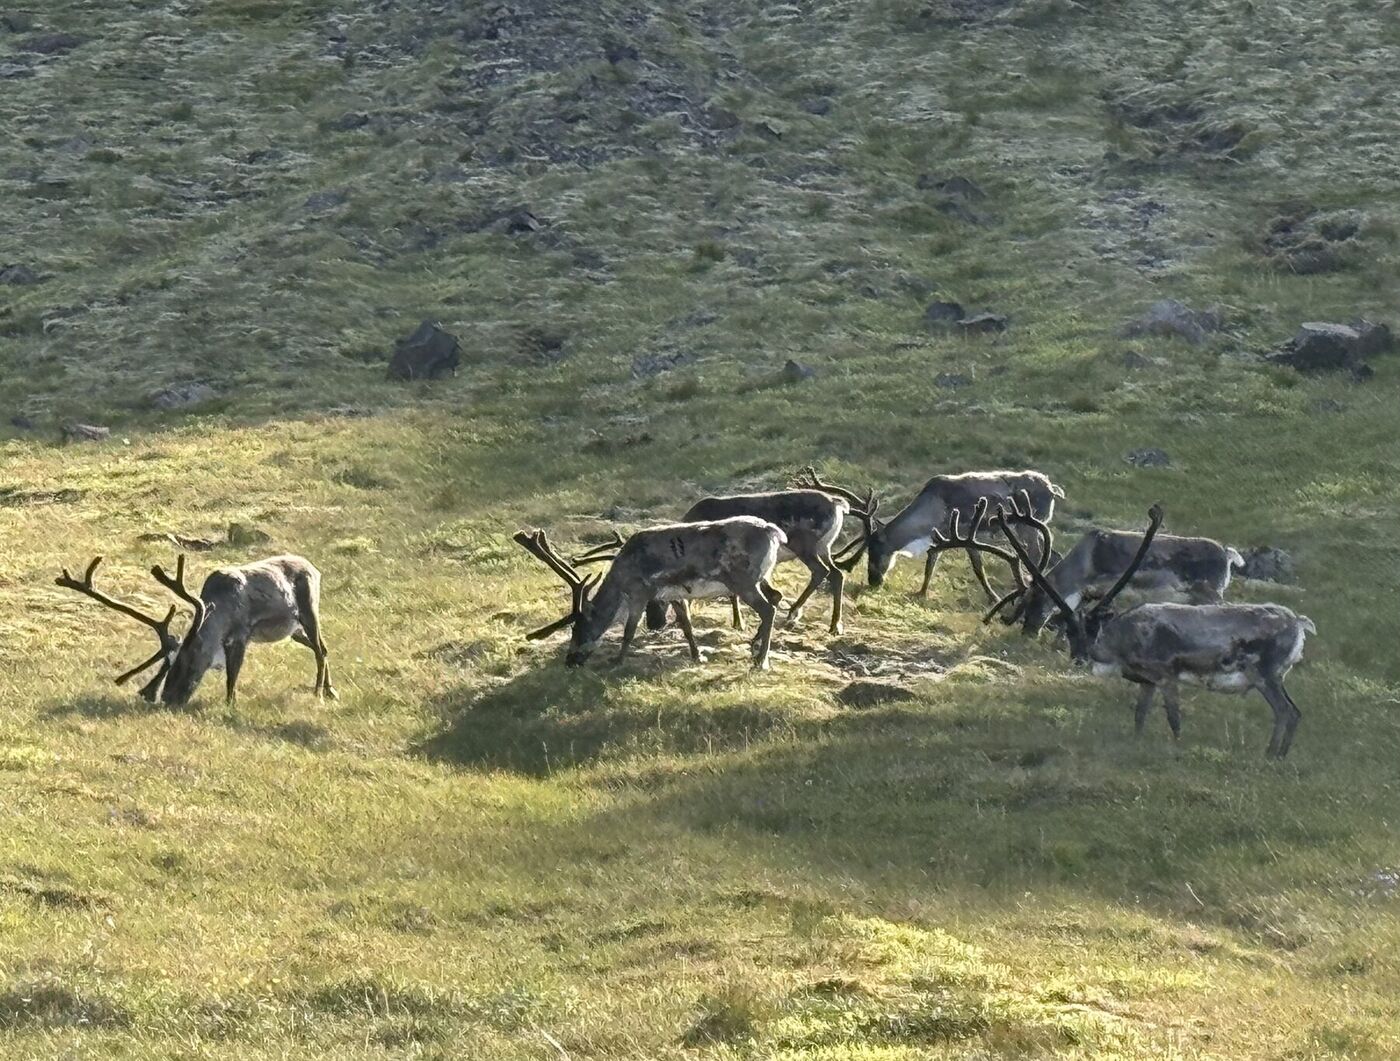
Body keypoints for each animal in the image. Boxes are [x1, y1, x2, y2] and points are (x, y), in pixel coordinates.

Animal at [55, 554, 335, 706]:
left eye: (189, 663)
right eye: (167, 665)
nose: (168, 698)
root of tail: (313, 567)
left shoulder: (240, 635)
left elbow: (232, 675)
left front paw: (230, 705)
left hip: (308, 611)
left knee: (320, 649)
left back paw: (319, 693)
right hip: (293, 631)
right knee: (322, 647)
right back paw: (329, 690)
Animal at [514, 517, 786, 669]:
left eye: (579, 629)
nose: (570, 661)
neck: (620, 579)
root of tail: (772, 531)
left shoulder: (639, 592)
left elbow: (629, 631)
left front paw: (617, 661)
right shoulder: (673, 594)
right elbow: (686, 625)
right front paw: (698, 656)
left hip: (743, 580)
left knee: (769, 608)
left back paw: (761, 661)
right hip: (760, 577)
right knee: (775, 597)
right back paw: (755, 648)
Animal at [798, 468, 1063, 599]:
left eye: (876, 552)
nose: (873, 582)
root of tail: (1053, 488)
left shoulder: (964, 532)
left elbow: (977, 568)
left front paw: (993, 597)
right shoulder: (941, 536)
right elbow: (930, 564)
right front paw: (922, 592)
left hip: (1029, 525)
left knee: (1040, 554)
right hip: (1034, 527)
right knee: (1054, 555)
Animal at [959, 502, 1315, 759]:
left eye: (1034, 601)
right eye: (1074, 634)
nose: (1080, 659)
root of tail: (1300, 622)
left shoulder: (1165, 672)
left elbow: (1174, 718)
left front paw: (1176, 746)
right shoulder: (1147, 682)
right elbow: (1140, 715)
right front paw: (1136, 742)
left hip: (1261, 666)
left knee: (1289, 712)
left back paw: (1273, 756)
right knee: (1291, 712)